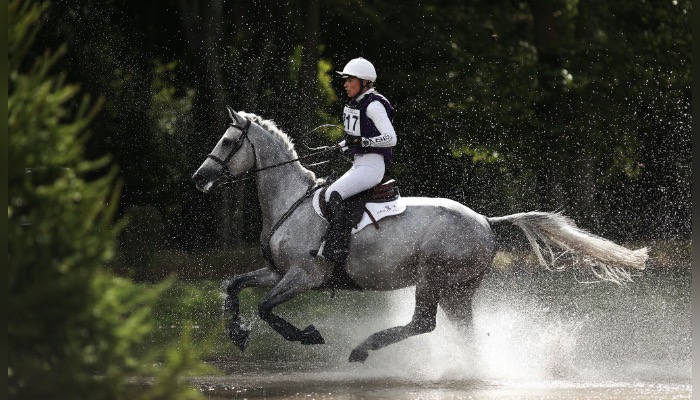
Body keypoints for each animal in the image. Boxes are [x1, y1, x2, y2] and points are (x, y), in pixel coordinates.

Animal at [191, 107, 652, 362]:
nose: (199, 179)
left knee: (423, 323)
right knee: (459, 330)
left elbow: (267, 308)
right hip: (459, 288)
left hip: (433, 276)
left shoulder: (303, 276)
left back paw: (364, 348)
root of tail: (486, 221)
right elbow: (233, 285)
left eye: (228, 140)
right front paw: (236, 334)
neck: (291, 202)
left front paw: (306, 335)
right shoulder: (277, 272)